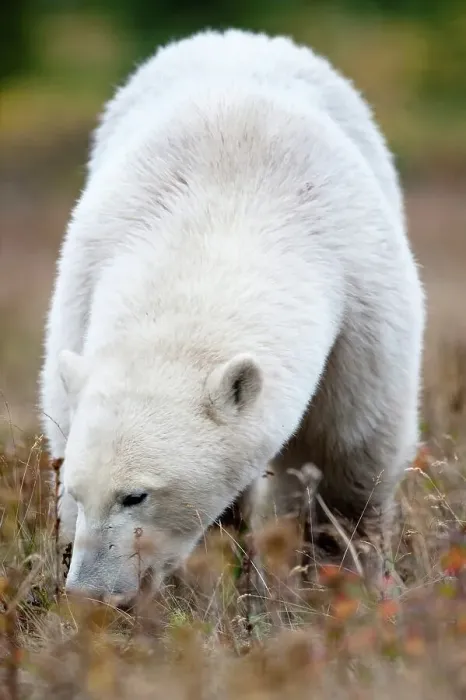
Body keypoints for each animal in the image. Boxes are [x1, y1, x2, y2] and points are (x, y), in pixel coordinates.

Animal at [39, 28, 425, 603]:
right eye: (77, 488)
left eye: (136, 495)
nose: (91, 591)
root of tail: (235, 35)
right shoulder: (86, 273)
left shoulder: (362, 304)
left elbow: (349, 449)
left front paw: (347, 576)